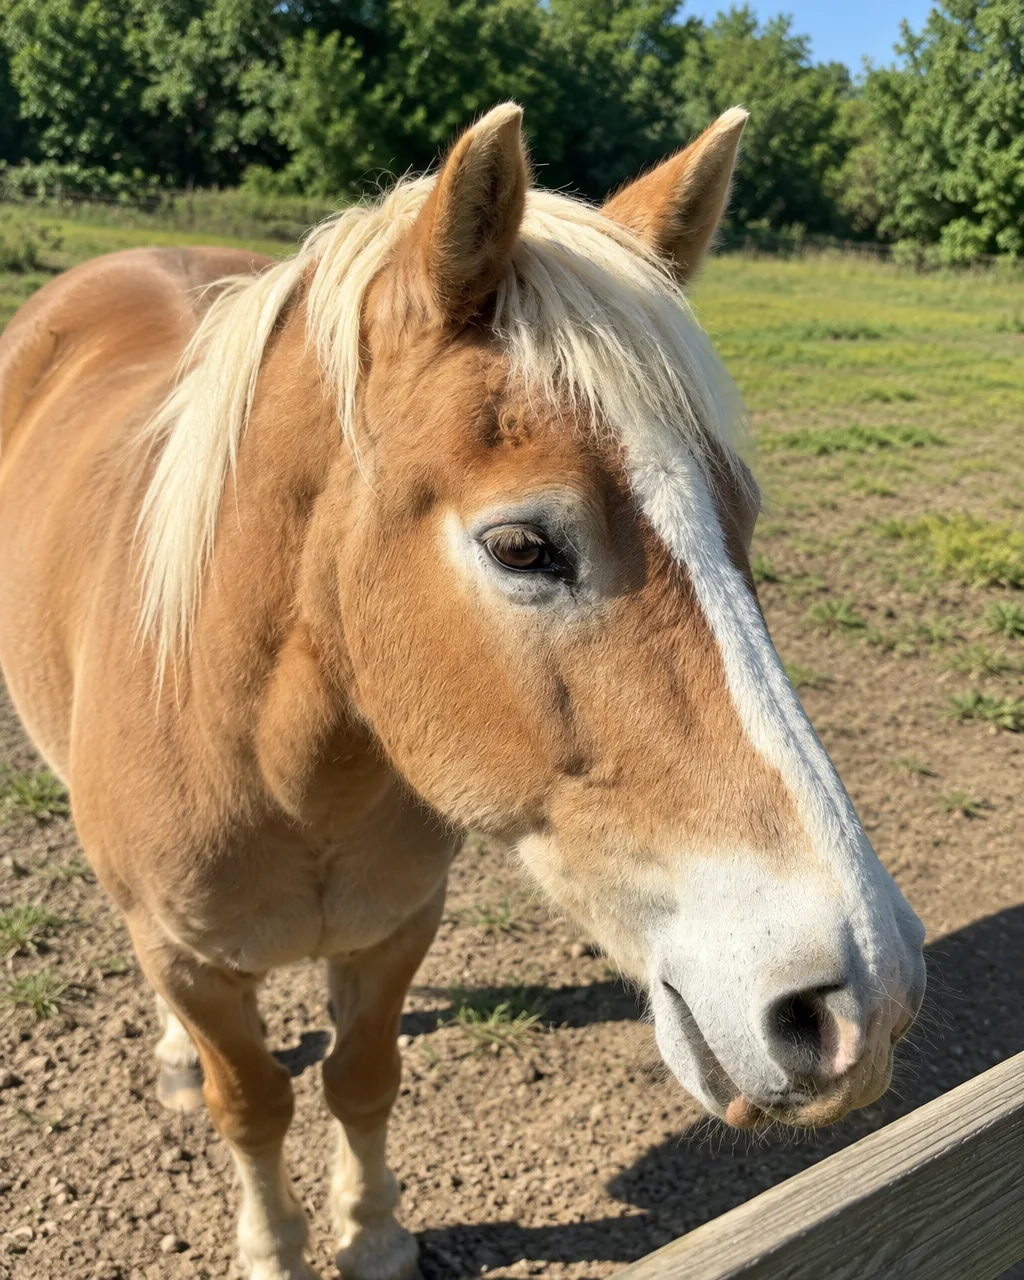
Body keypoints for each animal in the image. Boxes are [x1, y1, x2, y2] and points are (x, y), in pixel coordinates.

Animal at [0, 105, 925, 1279]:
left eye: (743, 519)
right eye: (523, 545)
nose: (864, 998)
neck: (275, 762)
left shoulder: (399, 928)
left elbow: (362, 1079)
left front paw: (375, 1236)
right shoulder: (195, 963)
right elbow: (251, 1101)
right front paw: (276, 1247)